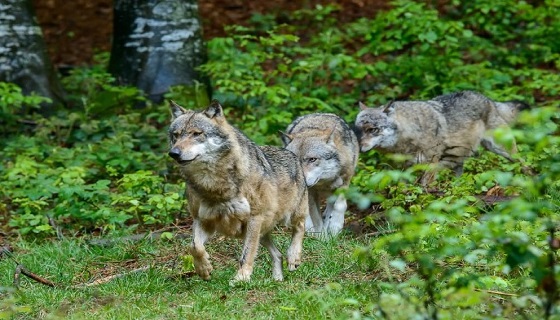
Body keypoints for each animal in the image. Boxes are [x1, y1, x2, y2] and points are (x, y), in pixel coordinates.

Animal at [166, 100, 308, 282]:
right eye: (176, 135)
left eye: (196, 133)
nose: (174, 153)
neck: (215, 185)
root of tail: (290, 152)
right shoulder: (203, 220)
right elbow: (194, 246)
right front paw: (204, 269)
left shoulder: (254, 217)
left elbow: (246, 254)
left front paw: (241, 278)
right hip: (262, 233)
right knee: (277, 254)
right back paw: (277, 279)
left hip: (289, 217)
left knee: (300, 228)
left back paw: (293, 257)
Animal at [354, 91, 528, 184]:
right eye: (357, 130)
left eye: (372, 130)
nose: (358, 147)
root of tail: (488, 99)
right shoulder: (402, 168)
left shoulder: (430, 164)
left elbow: (424, 186)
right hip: (456, 158)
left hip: (503, 150)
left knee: (523, 162)